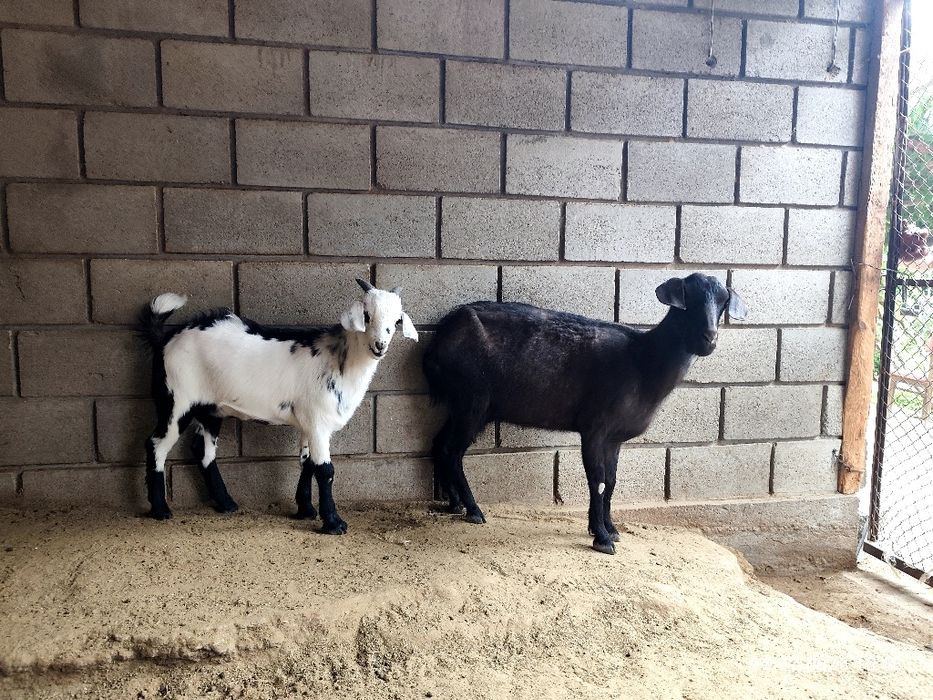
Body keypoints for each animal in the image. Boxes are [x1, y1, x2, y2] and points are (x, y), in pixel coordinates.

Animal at [137, 279, 418, 532]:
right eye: (367, 315)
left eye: (396, 321)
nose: (380, 346)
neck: (340, 360)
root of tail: (165, 339)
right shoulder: (319, 422)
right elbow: (325, 470)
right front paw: (333, 523)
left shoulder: (308, 421)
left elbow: (307, 463)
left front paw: (305, 510)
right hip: (175, 399)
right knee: (157, 444)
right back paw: (161, 509)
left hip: (210, 408)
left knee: (203, 451)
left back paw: (226, 503)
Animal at [423, 273, 746, 555]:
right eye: (687, 298)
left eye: (723, 301)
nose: (709, 338)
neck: (643, 361)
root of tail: (439, 339)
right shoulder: (595, 427)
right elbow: (597, 480)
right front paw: (602, 538)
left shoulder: (614, 437)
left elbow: (612, 481)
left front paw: (610, 528)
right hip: (473, 400)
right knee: (453, 451)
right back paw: (473, 509)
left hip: (461, 404)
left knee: (439, 444)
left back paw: (454, 503)